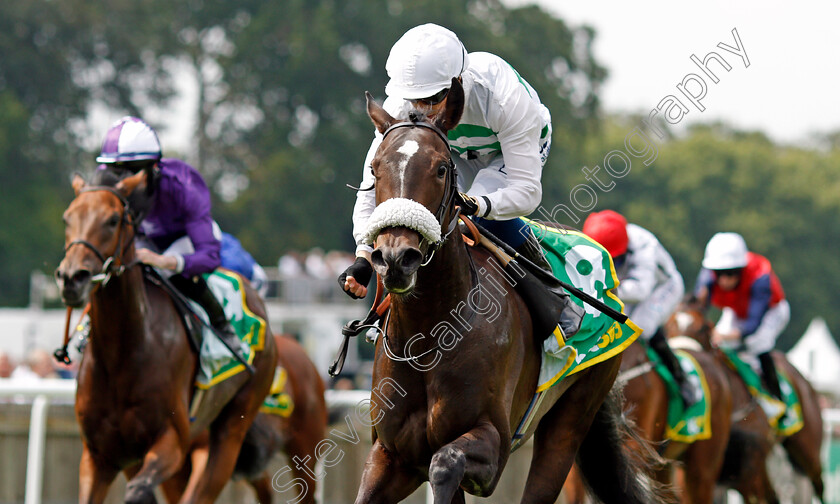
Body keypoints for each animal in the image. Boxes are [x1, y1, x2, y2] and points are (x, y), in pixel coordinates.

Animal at [56, 171, 278, 502]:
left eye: (112, 220)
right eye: (67, 218)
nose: (72, 277)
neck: (122, 352)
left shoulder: (172, 441)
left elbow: (138, 491)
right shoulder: (99, 456)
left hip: (231, 427)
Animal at [358, 78, 668, 504]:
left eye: (441, 168)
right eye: (374, 169)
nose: (394, 258)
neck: (431, 336)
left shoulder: (493, 445)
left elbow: (446, 463)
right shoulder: (391, 455)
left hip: (573, 415)